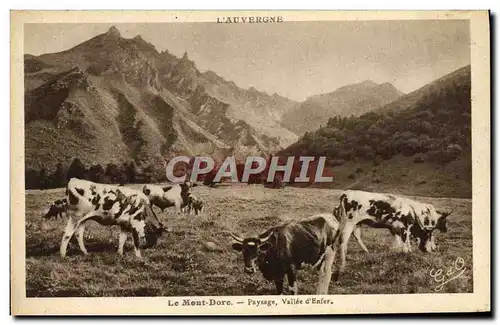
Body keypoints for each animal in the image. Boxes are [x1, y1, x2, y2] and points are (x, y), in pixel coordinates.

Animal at [229, 211, 368, 294]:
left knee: (327, 275)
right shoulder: (278, 275)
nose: (249, 269)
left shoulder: (291, 270)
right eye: (243, 250)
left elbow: (292, 290)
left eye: (258, 251)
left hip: (330, 254)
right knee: (322, 274)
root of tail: (330, 217)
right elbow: (279, 291)